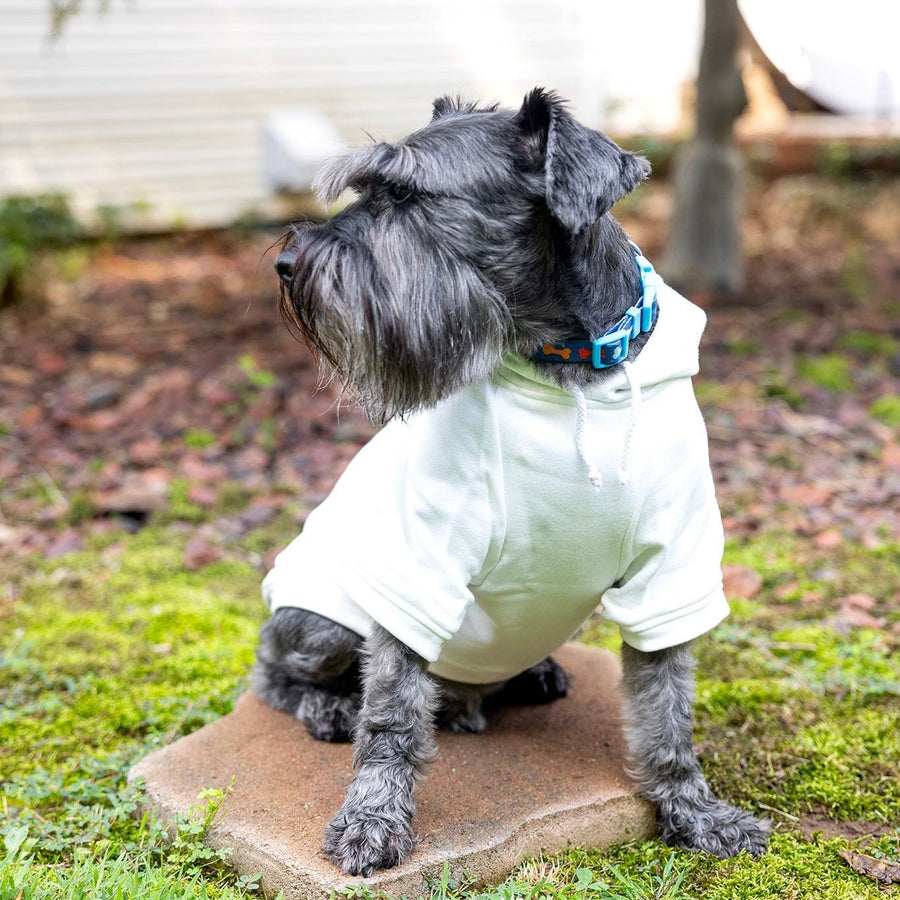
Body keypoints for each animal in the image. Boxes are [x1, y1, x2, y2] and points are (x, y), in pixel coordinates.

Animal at [250, 88, 768, 876]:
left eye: (406, 193)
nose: (285, 262)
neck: (575, 367)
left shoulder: (671, 566)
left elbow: (669, 707)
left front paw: (696, 812)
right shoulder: (419, 564)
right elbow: (391, 711)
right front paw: (371, 821)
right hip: (324, 620)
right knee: (274, 670)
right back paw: (327, 707)